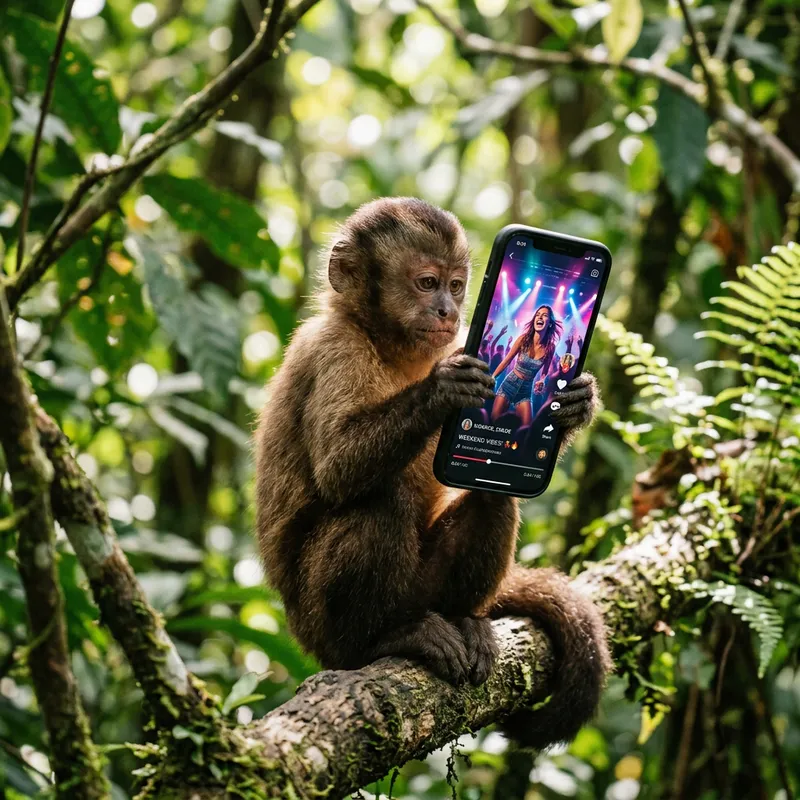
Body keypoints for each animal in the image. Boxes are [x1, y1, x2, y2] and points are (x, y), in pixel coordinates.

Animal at [255, 197, 612, 750]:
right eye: (427, 284)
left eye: (457, 286)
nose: (447, 311)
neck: (387, 343)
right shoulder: (332, 347)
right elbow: (338, 467)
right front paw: (444, 391)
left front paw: (575, 404)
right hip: (317, 628)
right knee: (380, 500)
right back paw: (380, 639)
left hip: (425, 587)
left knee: (492, 497)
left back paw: (463, 618)